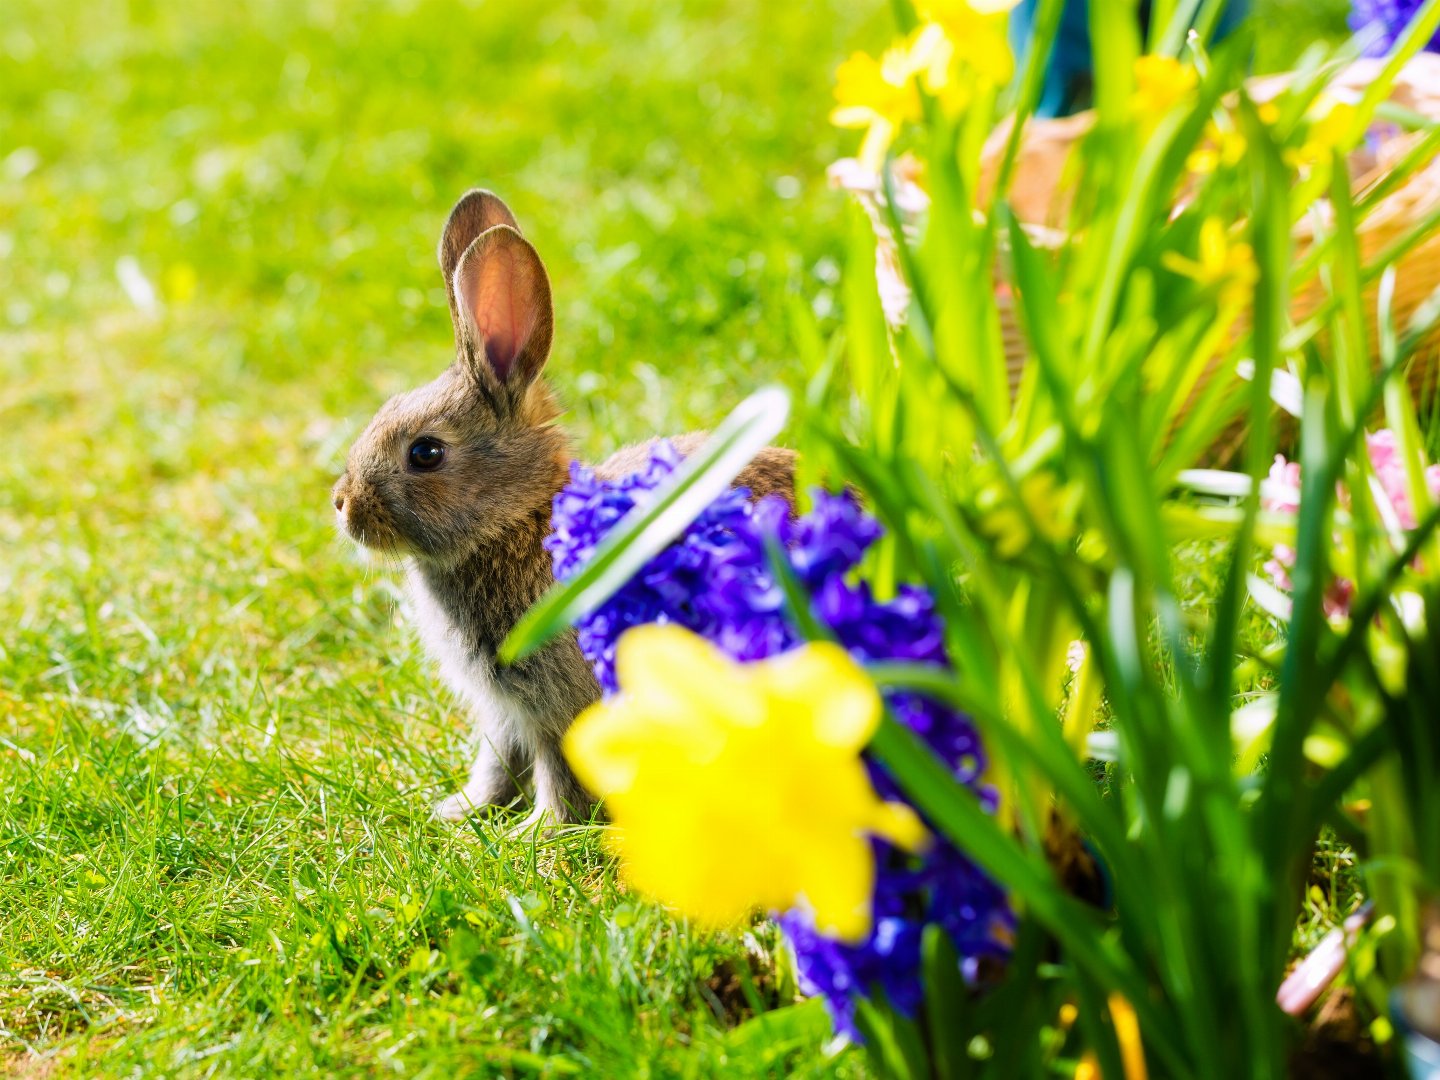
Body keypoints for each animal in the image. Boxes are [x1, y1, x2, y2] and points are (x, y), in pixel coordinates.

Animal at [331, 192, 794, 829]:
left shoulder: (564, 702)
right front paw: (458, 812)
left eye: (425, 452)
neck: (516, 522)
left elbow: (560, 772)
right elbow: (496, 760)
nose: (343, 503)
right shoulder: (505, 711)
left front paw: (535, 833)